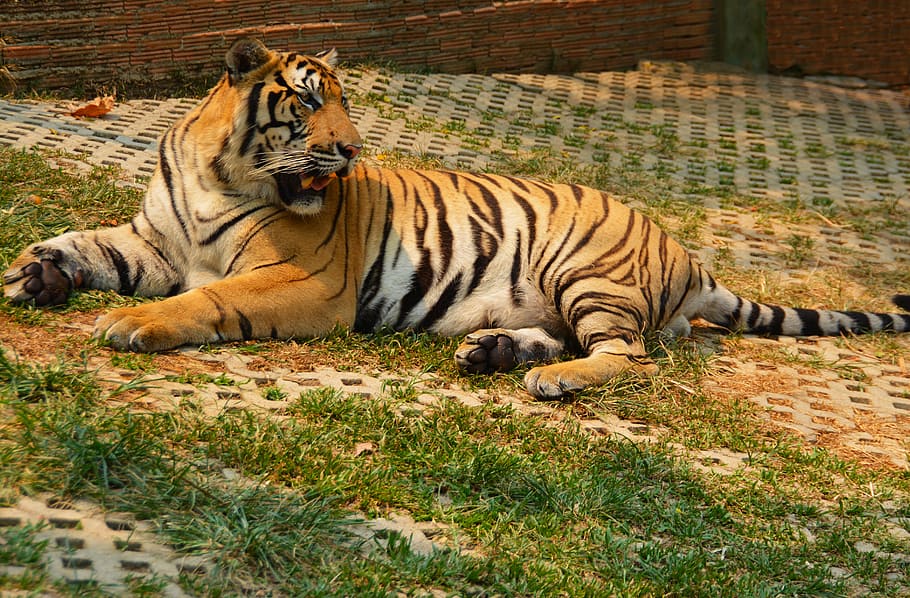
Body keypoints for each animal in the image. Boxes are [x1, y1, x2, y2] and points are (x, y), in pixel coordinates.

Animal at [4, 38, 910, 399]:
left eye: (343, 103)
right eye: (308, 102)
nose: (351, 149)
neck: (215, 174)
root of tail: (689, 256)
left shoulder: (306, 281)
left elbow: (206, 298)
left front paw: (135, 324)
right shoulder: (154, 242)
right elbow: (92, 245)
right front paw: (36, 272)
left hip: (587, 274)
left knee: (628, 357)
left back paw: (551, 379)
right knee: (573, 339)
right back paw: (494, 352)